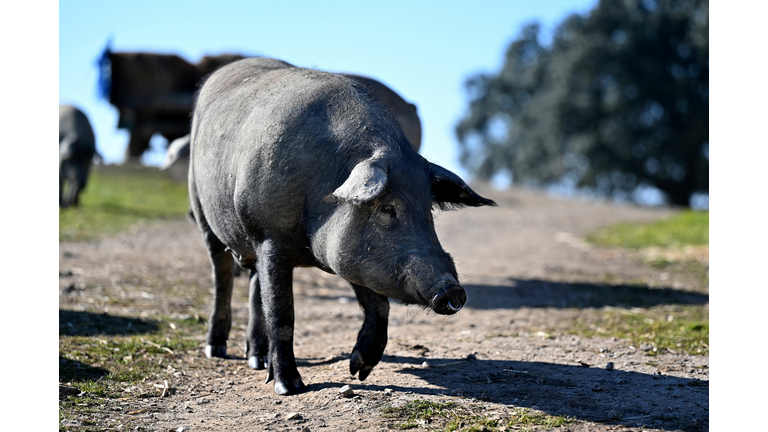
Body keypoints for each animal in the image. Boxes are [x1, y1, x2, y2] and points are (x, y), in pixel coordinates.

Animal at [189, 57, 496, 394]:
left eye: (428, 208)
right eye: (387, 208)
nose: (453, 291)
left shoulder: (359, 258)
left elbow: (379, 306)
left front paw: (359, 370)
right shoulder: (270, 237)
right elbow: (283, 314)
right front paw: (291, 387)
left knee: (256, 288)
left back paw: (256, 360)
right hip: (202, 210)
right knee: (222, 277)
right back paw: (216, 350)